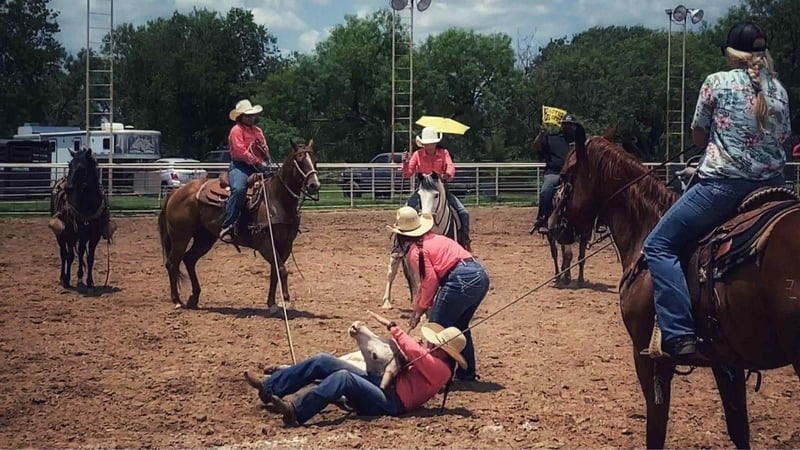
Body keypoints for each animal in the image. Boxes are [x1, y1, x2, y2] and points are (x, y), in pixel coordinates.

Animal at [48, 148, 109, 291]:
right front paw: (66, 280)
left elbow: (90, 257)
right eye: (70, 165)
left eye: (81, 168)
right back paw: (62, 277)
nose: (68, 188)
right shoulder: (70, 234)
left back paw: (80, 276)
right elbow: (69, 256)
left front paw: (90, 282)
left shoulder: (94, 236)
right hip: (61, 234)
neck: (87, 205)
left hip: (82, 236)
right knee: (63, 253)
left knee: (80, 252)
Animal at [158, 141, 320, 313]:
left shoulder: (286, 244)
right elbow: (281, 270)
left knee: (189, 259)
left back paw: (194, 298)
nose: (314, 185)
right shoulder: (265, 244)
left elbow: (275, 271)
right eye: (300, 159)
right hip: (180, 237)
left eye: (314, 159)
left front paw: (272, 304)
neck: (276, 199)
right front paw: (286, 302)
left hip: (204, 238)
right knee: (172, 263)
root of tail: (176, 192)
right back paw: (177, 301)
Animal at [380, 172, 465, 309]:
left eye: (436, 195)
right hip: (396, 253)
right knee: (391, 273)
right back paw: (387, 301)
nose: (425, 216)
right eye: (420, 194)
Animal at [549, 123, 800, 449]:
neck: (646, 228)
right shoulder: (726, 361)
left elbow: (656, 430)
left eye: (566, 175)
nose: (553, 225)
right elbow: (738, 429)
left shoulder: (648, 355)